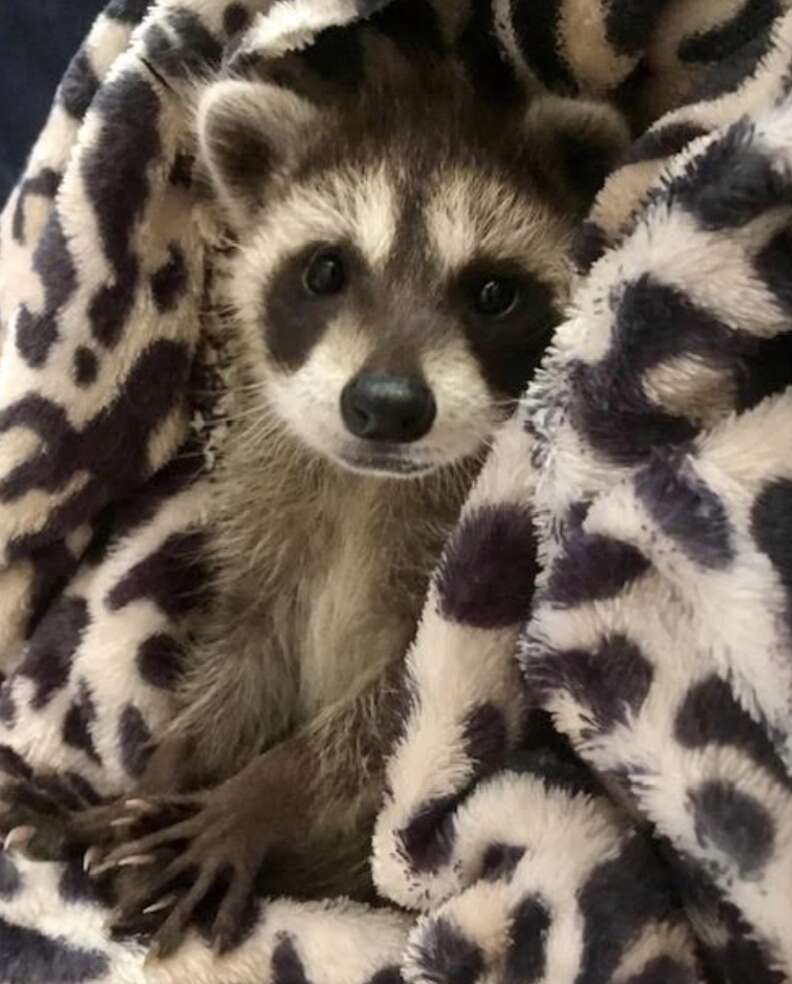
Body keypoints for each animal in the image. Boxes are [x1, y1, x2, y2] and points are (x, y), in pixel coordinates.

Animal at [1, 60, 629, 958]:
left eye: (493, 293)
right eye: (326, 271)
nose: (389, 406)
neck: (371, 483)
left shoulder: (483, 617)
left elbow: (393, 724)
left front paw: (264, 793)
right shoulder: (266, 529)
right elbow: (243, 663)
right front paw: (160, 774)